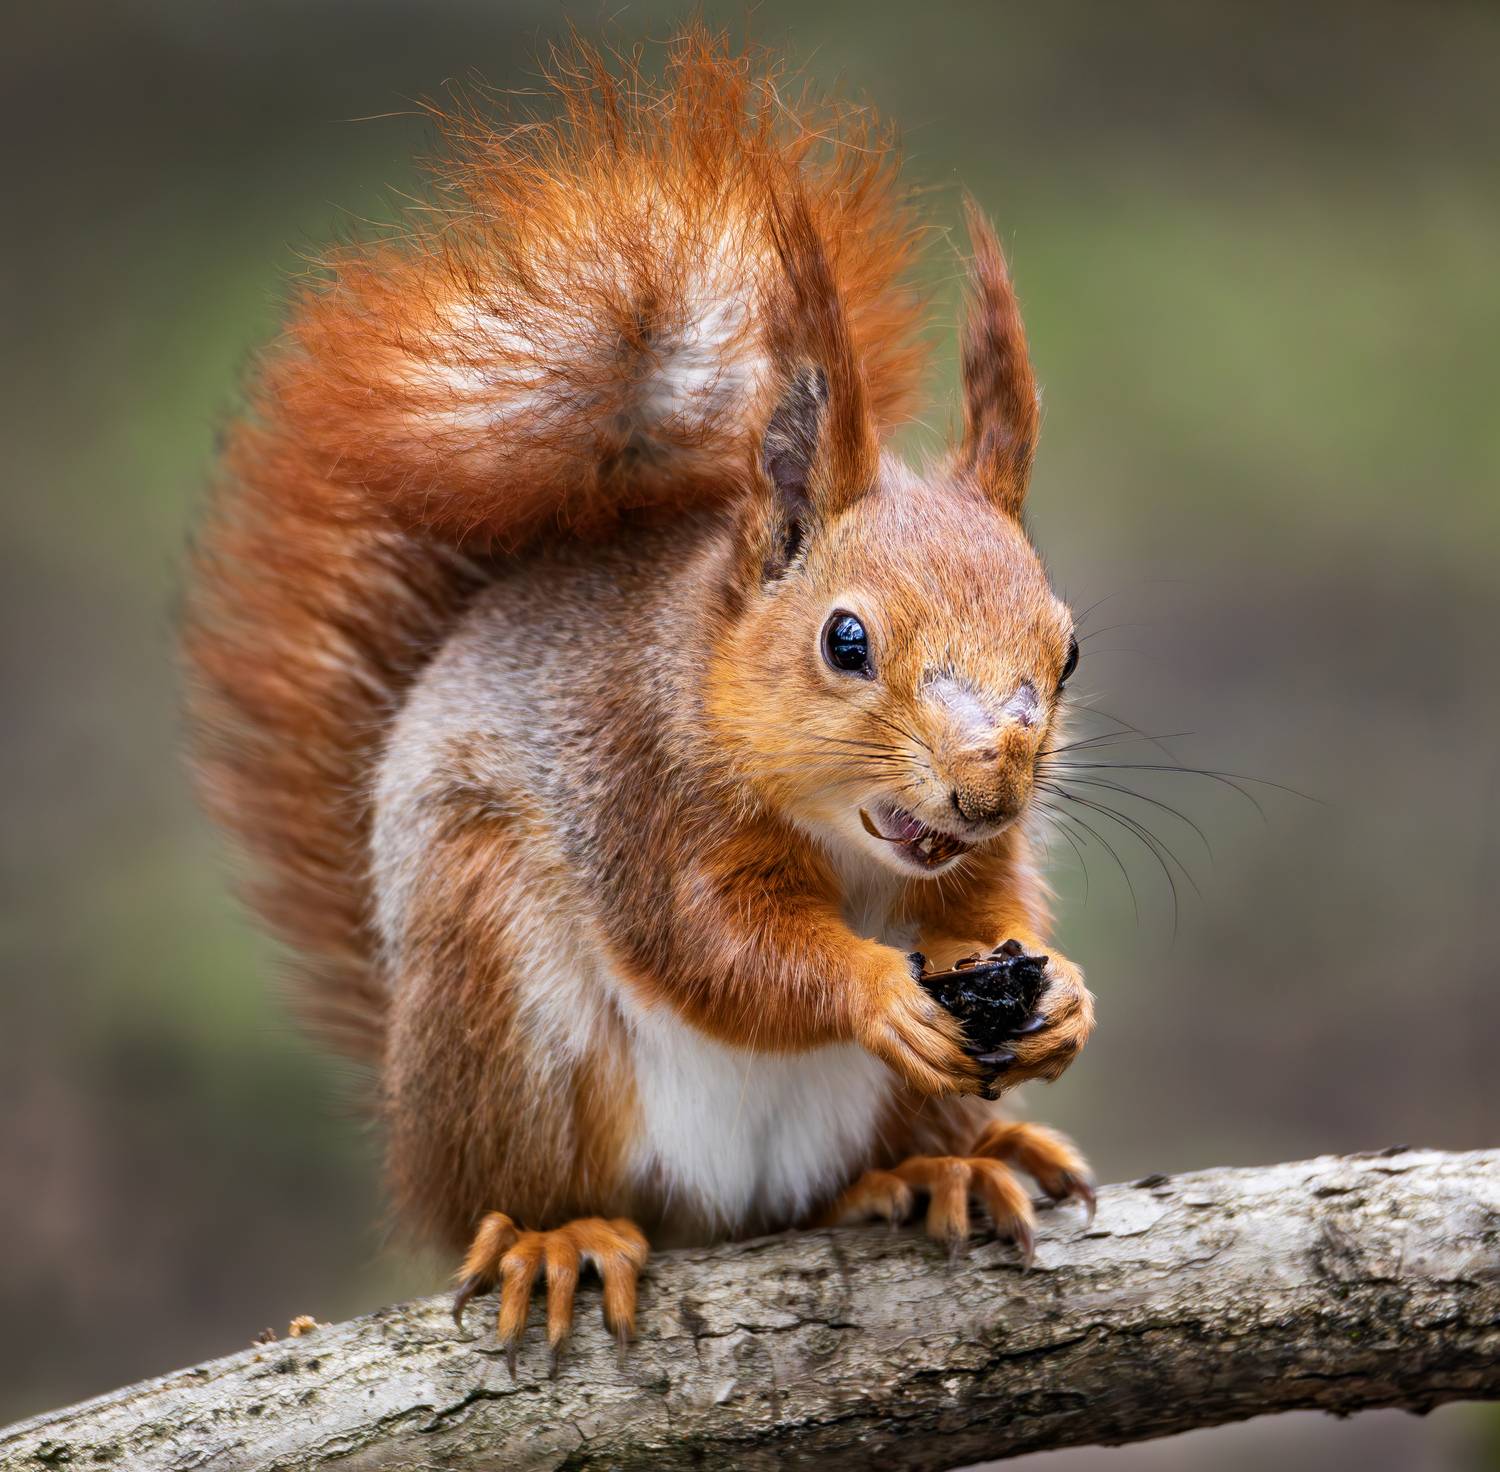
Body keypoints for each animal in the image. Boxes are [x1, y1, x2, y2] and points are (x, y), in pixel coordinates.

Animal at [183, 28, 1096, 1371]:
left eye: (1069, 652)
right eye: (845, 639)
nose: (988, 788)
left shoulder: (973, 878)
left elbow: (993, 911)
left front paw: (1066, 997)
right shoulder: (642, 792)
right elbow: (715, 947)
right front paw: (876, 984)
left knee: (851, 1176)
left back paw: (946, 1167)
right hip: (497, 991)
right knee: (535, 1187)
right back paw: (554, 1238)